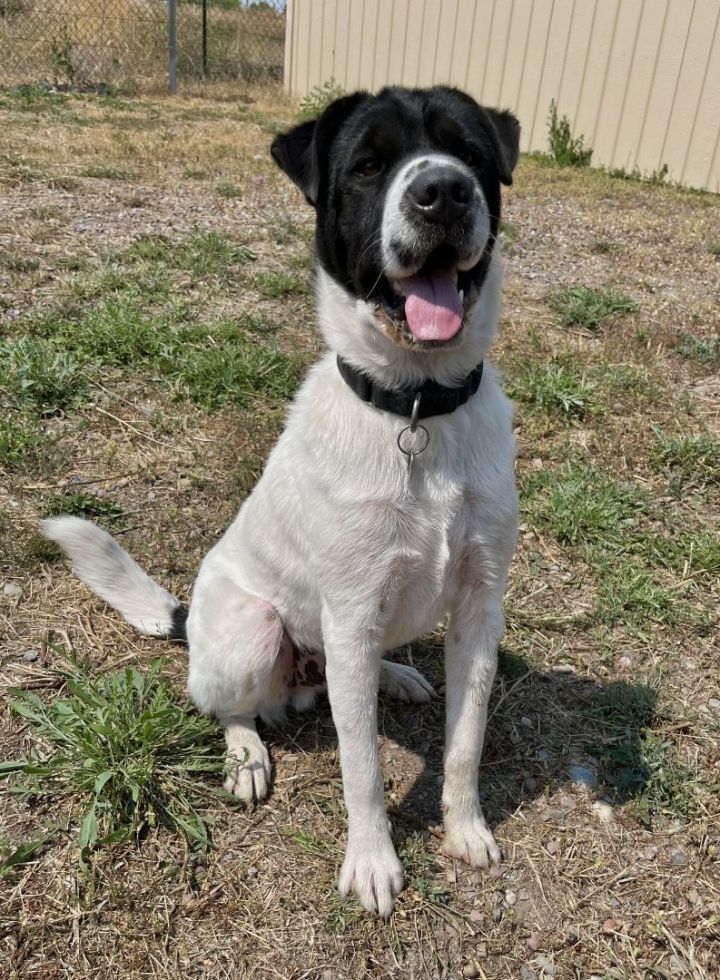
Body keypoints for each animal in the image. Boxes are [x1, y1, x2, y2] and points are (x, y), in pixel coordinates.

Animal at [42, 86, 516, 920]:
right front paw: (372, 861)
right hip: (256, 630)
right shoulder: (352, 609)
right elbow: (362, 766)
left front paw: (465, 830)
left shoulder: (479, 606)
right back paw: (246, 753)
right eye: (368, 166)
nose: (444, 191)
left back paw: (394, 677)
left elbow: (465, 744)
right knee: (224, 702)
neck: (418, 409)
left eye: (472, 156)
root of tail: (189, 621)